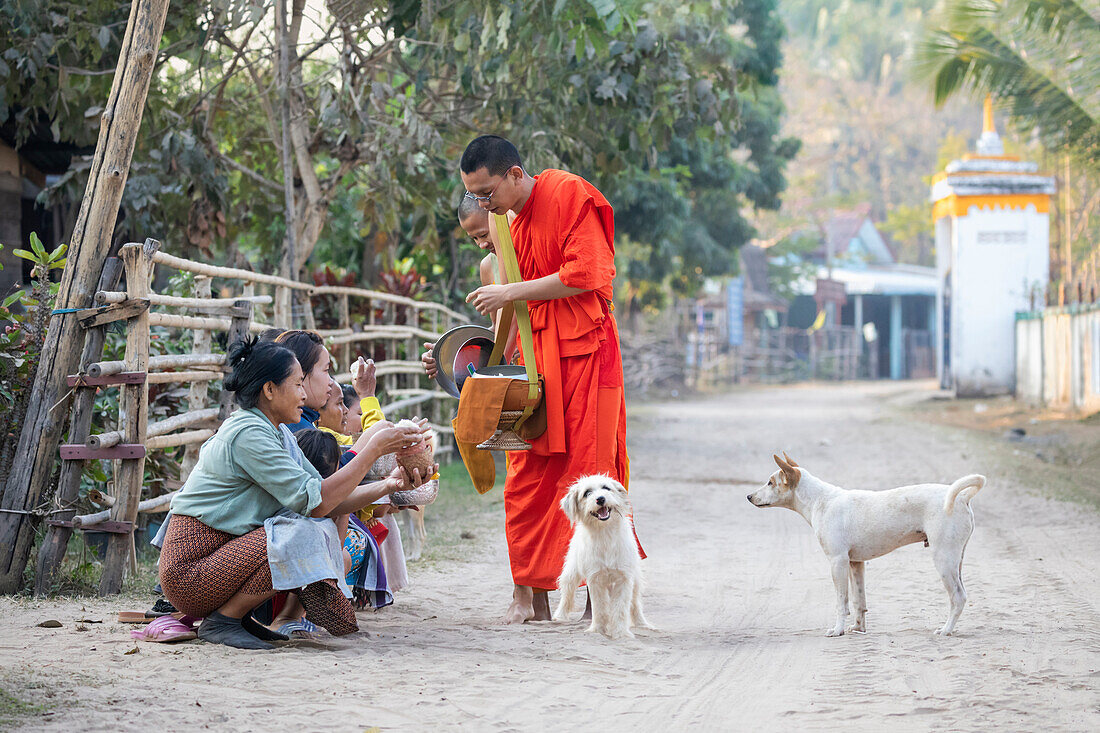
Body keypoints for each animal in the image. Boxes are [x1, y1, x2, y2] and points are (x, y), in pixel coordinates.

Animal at [554, 473, 646, 633]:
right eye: (587, 493)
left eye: (606, 488)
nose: (600, 499)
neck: (605, 533)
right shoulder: (595, 578)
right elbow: (599, 607)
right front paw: (597, 630)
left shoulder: (624, 578)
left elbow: (620, 608)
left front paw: (620, 632)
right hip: (572, 571)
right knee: (567, 593)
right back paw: (560, 615)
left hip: (635, 579)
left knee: (635, 604)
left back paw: (643, 624)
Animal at [748, 451, 990, 633]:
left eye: (770, 483)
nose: (749, 497)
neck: (821, 501)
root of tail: (962, 497)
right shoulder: (855, 564)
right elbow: (859, 601)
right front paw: (858, 629)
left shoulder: (837, 562)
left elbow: (842, 602)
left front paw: (838, 630)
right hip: (956, 560)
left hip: (943, 560)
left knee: (958, 597)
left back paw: (946, 630)